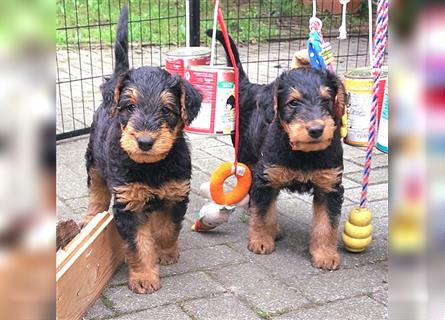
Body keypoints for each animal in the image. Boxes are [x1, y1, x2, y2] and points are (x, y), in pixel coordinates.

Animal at [83, 5, 201, 296]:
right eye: (129, 107)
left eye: (167, 110)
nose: (145, 142)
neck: (153, 166)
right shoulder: (129, 204)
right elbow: (138, 243)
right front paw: (145, 277)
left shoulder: (176, 194)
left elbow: (167, 229)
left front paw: (166, 252)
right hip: (93, 160)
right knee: (97, 192)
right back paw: (90, 217)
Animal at [209, 29, 346, 270]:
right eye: (293, 103)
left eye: (327, 100)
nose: (316, 130)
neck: (303, 154)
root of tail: (248, 86)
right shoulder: (267, 177)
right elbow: (263, 213)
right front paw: (261, 241)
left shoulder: (330, 186)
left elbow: (326, 224)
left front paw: (325, 254)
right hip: (247, 158)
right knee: (254, 197)